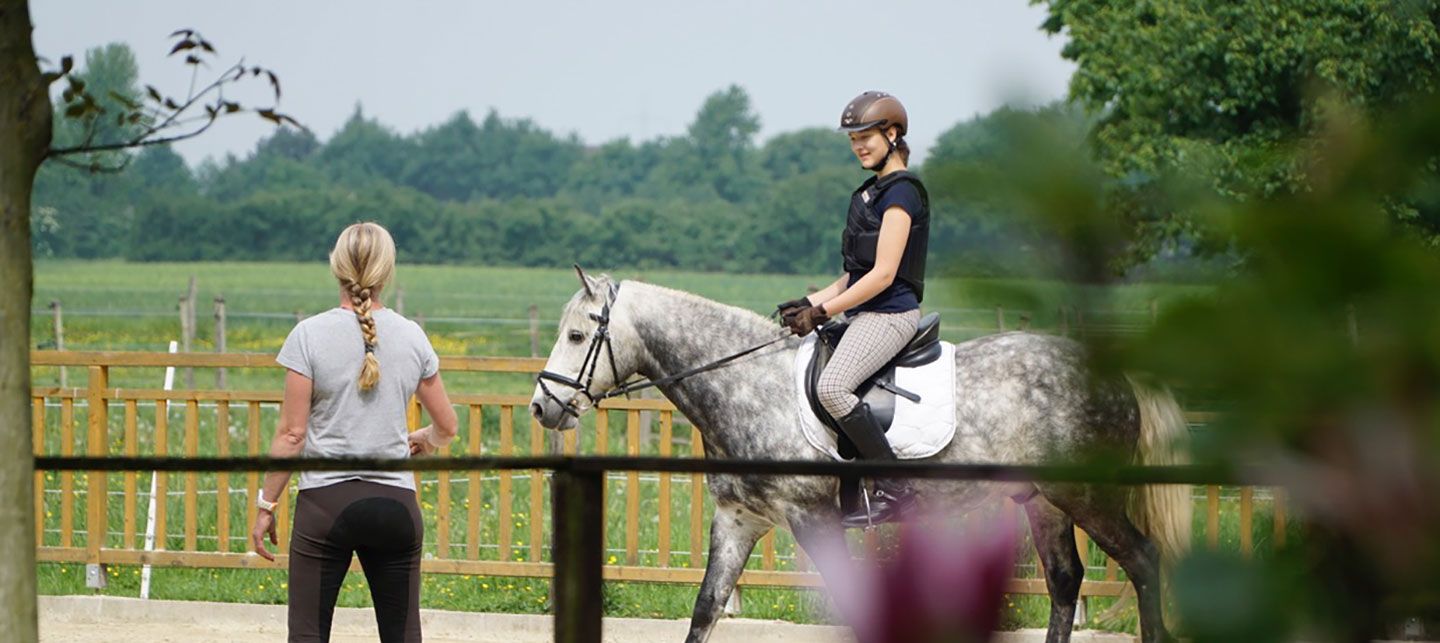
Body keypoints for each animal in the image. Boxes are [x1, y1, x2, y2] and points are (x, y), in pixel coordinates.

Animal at [529, 269, 1190, 643]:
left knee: (1143, 561)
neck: (747, 383)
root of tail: (1114, 372)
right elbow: (706, 610)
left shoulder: (813, 519)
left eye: (578, 336)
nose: (542, 407)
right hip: (1043, 501)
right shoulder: (738, 521)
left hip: (1088, 495)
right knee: (1064, 581)